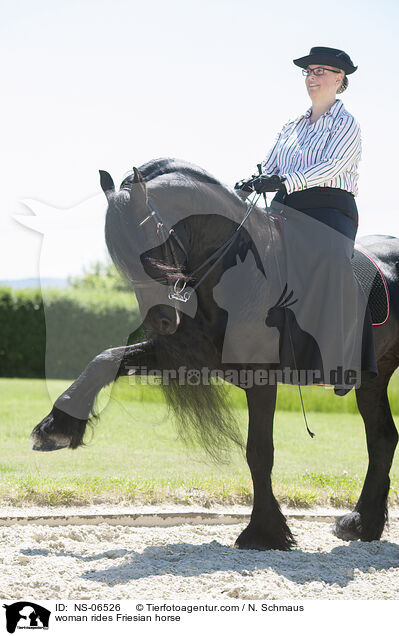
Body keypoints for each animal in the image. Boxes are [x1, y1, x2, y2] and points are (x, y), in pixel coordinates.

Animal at [31, 159, 399, 552]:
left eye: (151, 244)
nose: (161, 320)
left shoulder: (261, 377)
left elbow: (259, 452)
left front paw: (263, 532)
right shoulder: (187, 357)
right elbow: (105, 359)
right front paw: (56, 426)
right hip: (373, 378)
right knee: (382, 439)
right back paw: (362, 524)